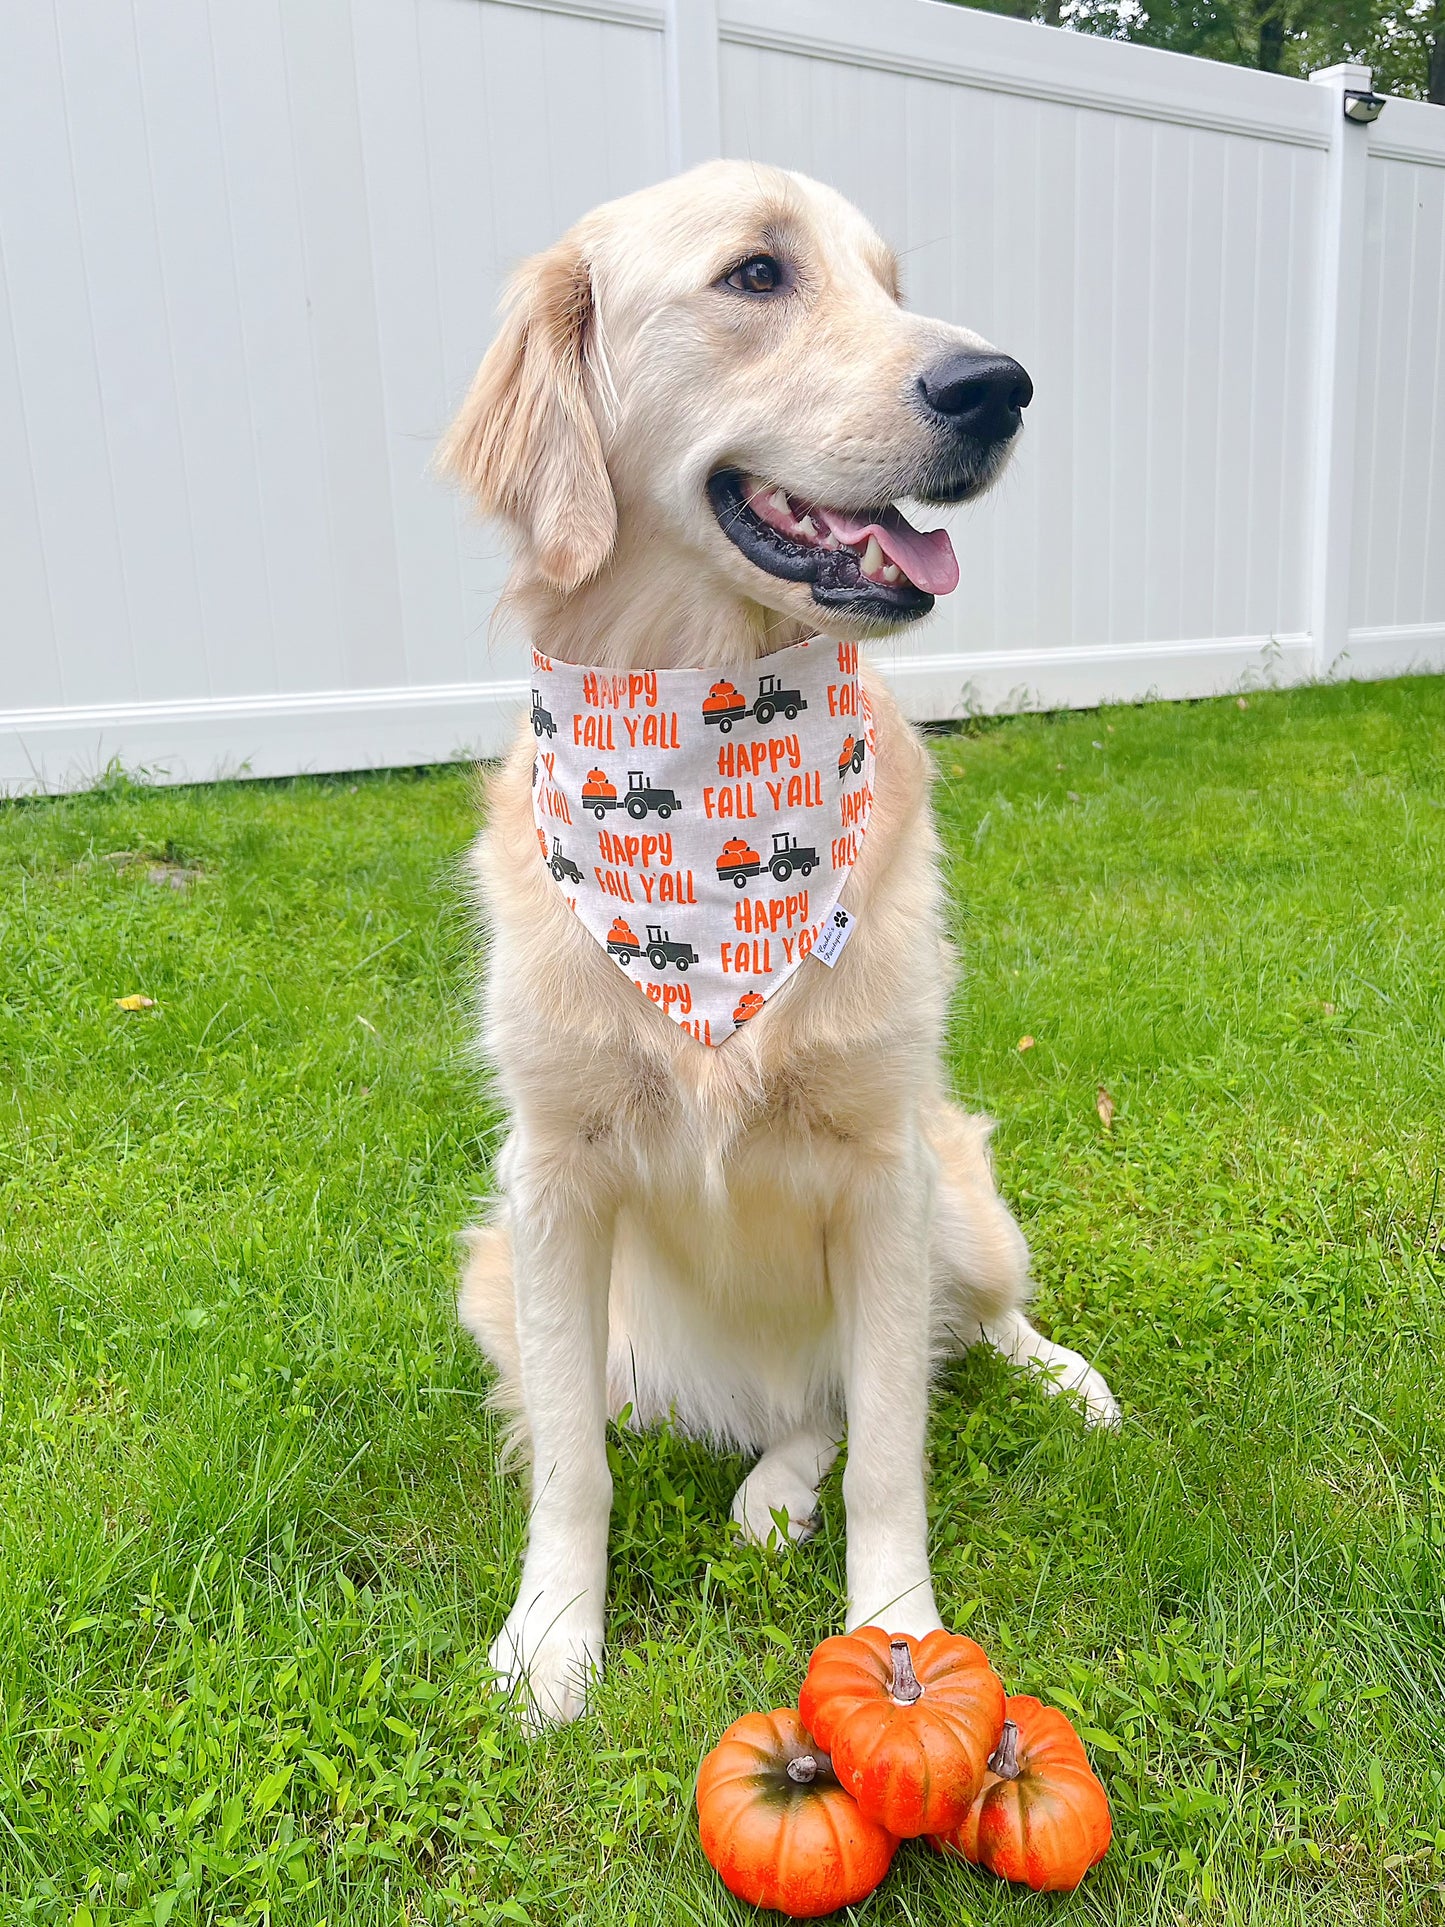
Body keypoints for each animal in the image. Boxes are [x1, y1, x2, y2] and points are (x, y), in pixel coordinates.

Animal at [441, 161, 1117, 1734]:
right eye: (756, 274)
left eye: (888, 282)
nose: (999, 385)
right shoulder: (546, 1178)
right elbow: (572, 1466)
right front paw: (551, 1636)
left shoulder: (881, 1168)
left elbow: (893, 1453)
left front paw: (901, 1640)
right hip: (502, 1280)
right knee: (788, 1406)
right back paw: (766, 1484)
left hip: (955, 1187)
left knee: (953, 1339)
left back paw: (1053, 1383)